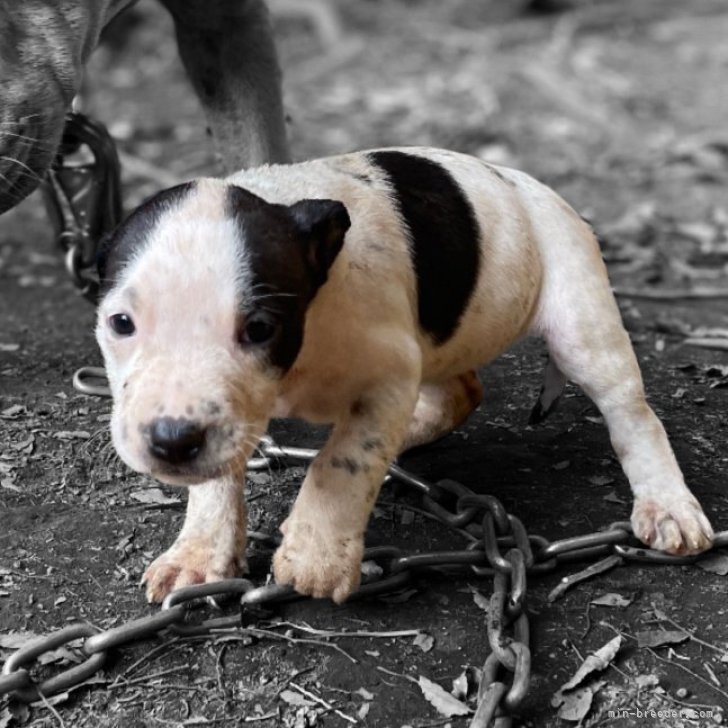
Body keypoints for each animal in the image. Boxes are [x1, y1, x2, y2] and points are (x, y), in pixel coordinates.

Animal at [94, 146, 712, 604]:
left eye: (261, 328)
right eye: (120, 323)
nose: (172, 441)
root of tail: (542, 193)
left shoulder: (387, 375)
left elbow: (342, 465)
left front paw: (316, 557)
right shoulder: (231, 417)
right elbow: (218, 477)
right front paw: (199, 554)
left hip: (582, 322)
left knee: (632, 415)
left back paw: (668, 506)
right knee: (460, 392)